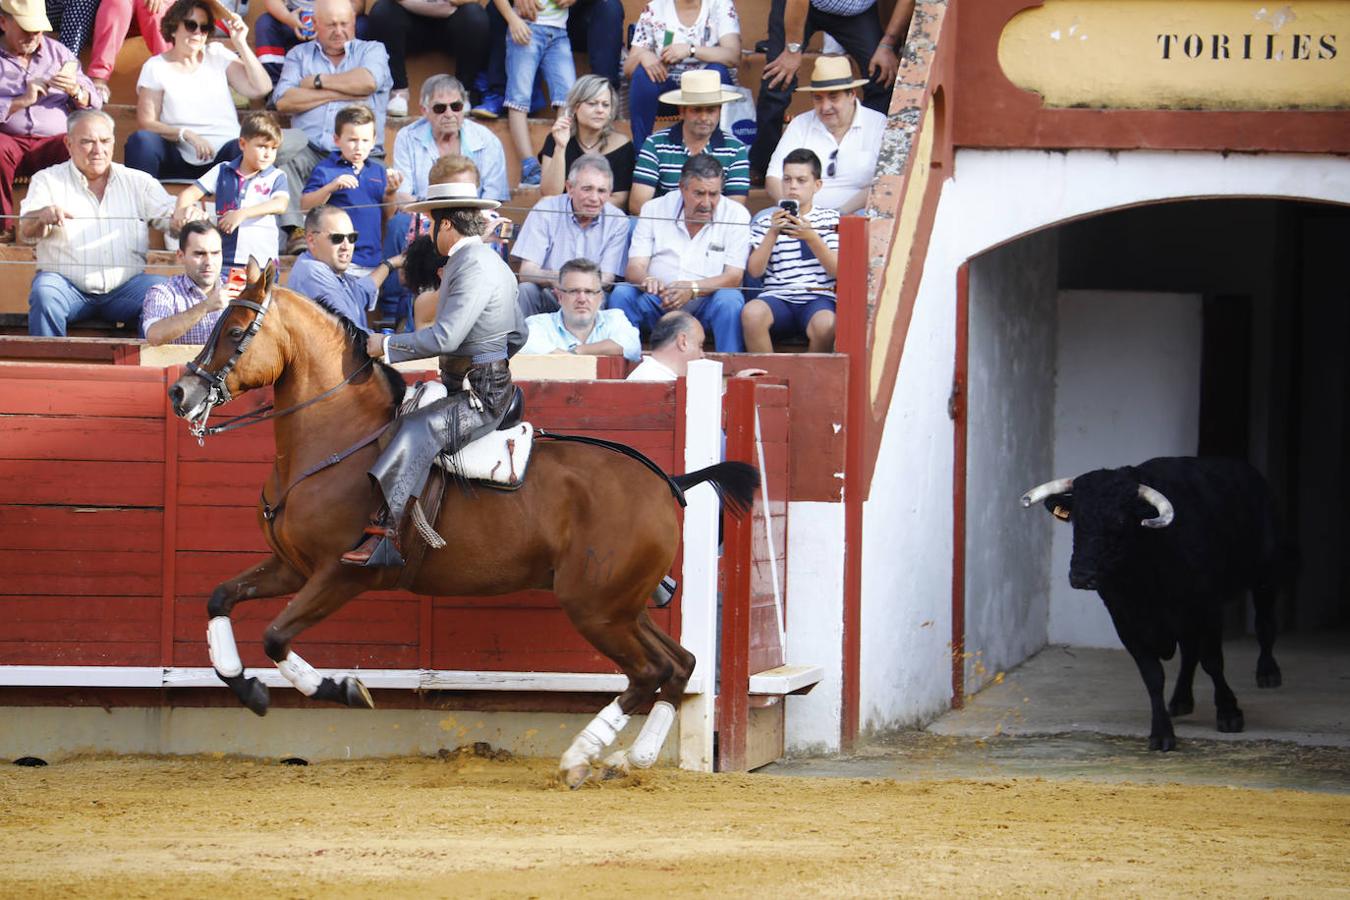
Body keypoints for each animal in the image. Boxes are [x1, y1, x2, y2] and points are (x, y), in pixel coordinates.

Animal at [166, 260, 761, 788]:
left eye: (236, 331)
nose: (180, 392)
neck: (337, 438)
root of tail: (670, 481)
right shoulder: (291, 566)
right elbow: (220, 599)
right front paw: (246, 688)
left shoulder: (342, 574)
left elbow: (274, 636)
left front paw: (343, 687)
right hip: (622, 605)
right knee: (678, 665)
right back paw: (627, 759)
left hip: (595, 608)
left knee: (648, 673)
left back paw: (580, 759)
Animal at [1026, 458, 1279, 755]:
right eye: (1077, 520)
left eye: (1120, 520)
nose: (1081, 576)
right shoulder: (1125, 620)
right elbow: (1153, 676)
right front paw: (1161, 733)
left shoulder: (1207, 608)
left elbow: (1213, 661)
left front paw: (1229, 713)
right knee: (1189, 652)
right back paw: (1181, 699)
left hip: (1265, 571)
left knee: (1263, 623)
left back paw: (1268, 673)